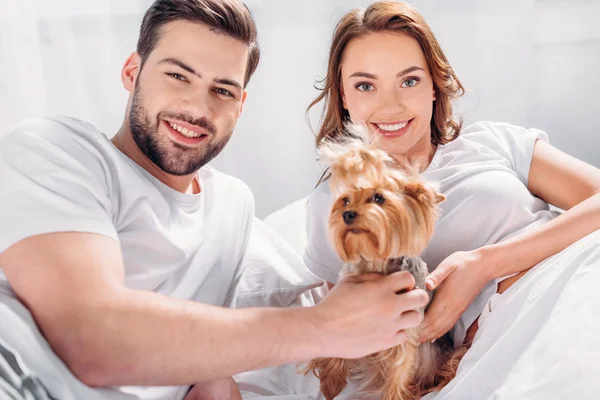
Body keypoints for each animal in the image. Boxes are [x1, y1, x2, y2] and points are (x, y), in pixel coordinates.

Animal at [304, 123, 468, 398]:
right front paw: (331, 382)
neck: (374, 262)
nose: (348, 214)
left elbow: (398, 372)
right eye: (345, 200)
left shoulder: (405, 331)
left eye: (378, 198)